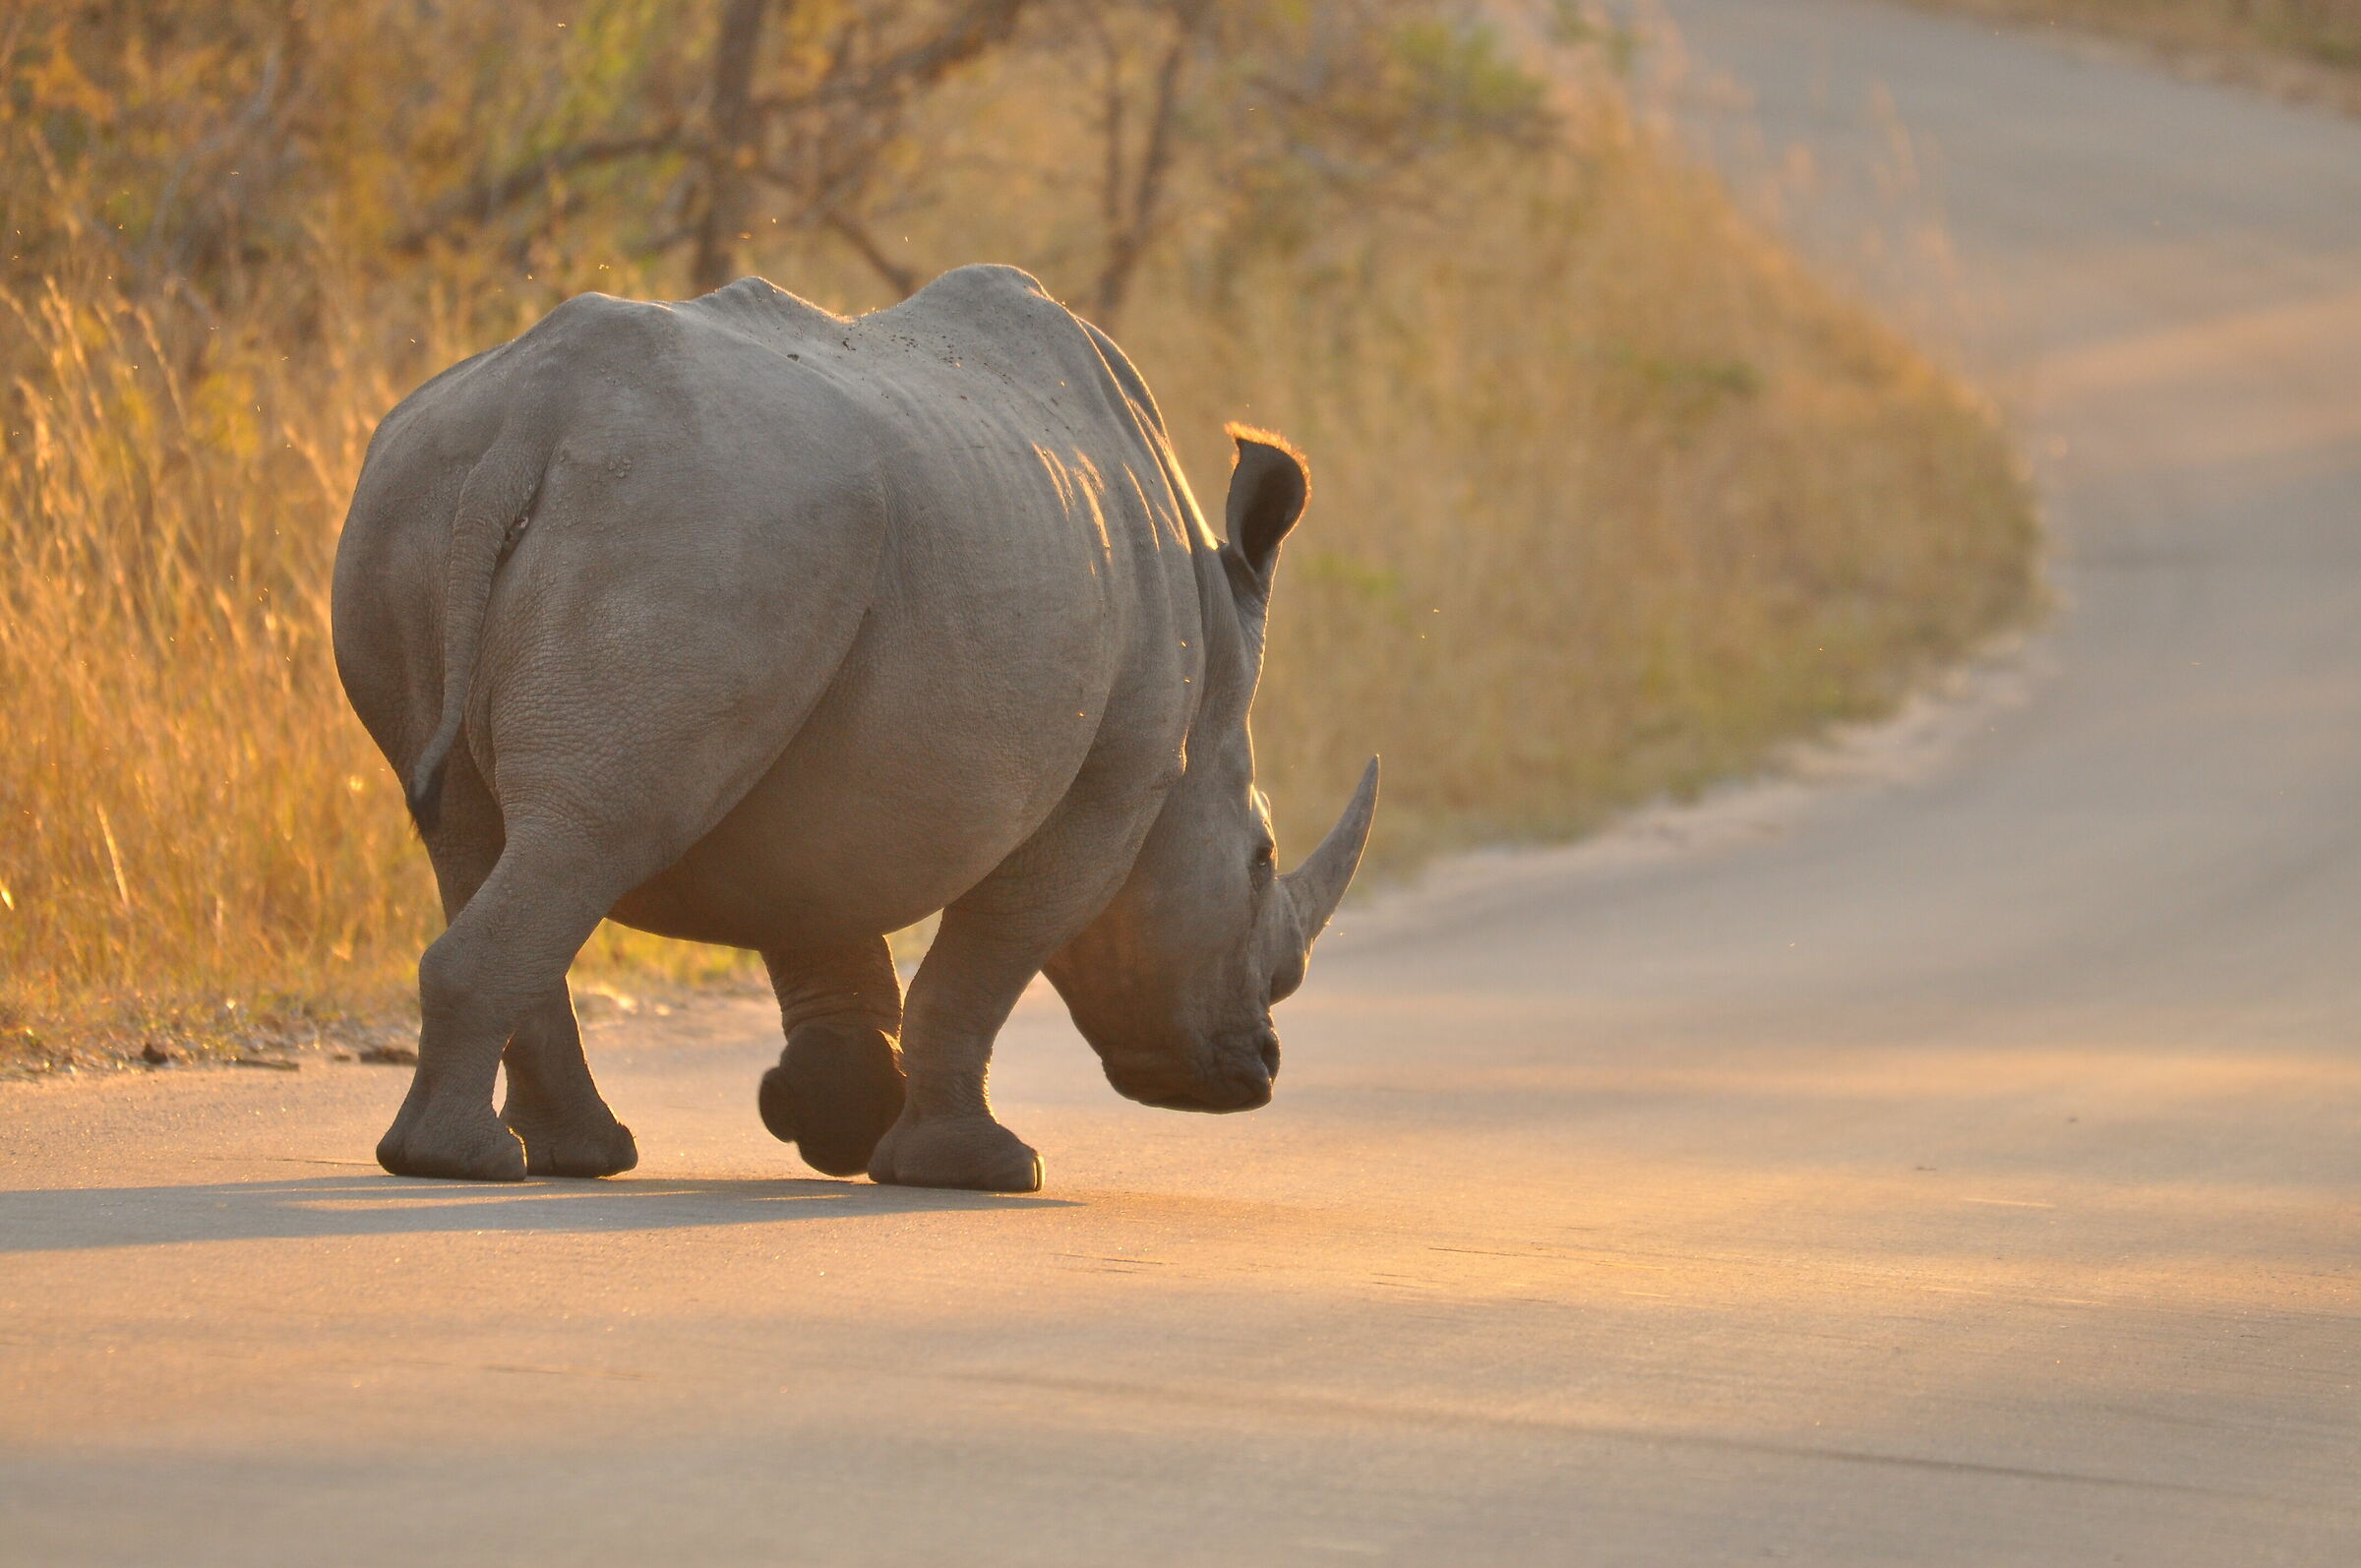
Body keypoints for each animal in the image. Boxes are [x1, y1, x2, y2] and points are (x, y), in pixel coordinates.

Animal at [332, 264, 1377, 1193]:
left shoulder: (831, 757)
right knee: (592, 829)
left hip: (433, 497)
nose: (1256, 1071)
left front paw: (837, 1117)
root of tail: (532, 419)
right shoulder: (1117, 779)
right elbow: (983, 961)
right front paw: (983, 1170)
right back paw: (466, 1162)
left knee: (479, 834)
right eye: (1260, 859)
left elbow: (815, 905)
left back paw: (571, 1156)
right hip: (694, 520)